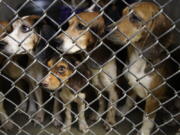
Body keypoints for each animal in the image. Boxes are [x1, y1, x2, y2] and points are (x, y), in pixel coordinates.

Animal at [107, 2, 174, 135]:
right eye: (122, 13)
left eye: (135, 17)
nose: (106, 30)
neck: (138, 58)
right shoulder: (132, 82)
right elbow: (129, 99)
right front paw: (124, 110)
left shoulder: (153, 99)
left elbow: (147, 119)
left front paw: (144, 131)